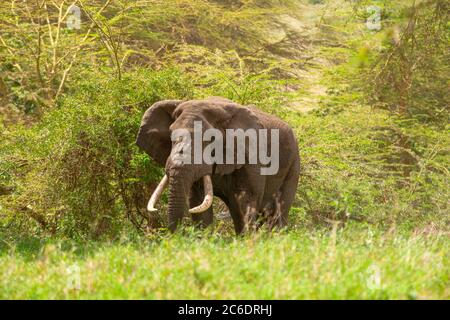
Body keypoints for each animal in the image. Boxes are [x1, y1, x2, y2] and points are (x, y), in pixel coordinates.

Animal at [135, 96, 300, 234]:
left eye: (210, 139)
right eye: (171, 136)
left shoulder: (251, 155)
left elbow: (246, 199)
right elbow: (198, 201)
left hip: (293, 164)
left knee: (278, 212)